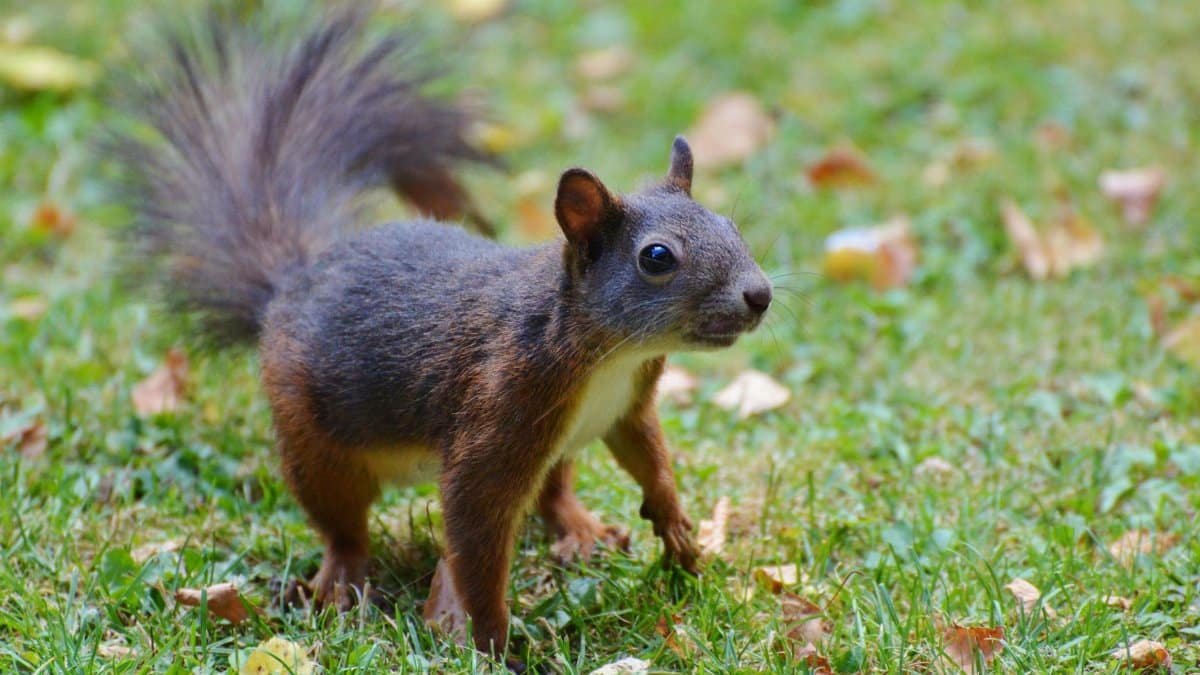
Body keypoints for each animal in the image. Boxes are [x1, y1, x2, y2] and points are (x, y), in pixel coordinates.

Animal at [116, 6, 772, 665]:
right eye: (657, 257)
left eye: (731, 225)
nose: (760, 295)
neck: (610, 355)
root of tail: (290, 282)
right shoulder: (501, 406)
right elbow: (476, 534)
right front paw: (495, 643)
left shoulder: (628, 405)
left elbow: (648, 456)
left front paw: (679, 530)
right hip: (311, 435)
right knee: (340, 519)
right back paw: (343, 579)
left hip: (555, 448)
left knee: (552, 491)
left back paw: (581, 530)